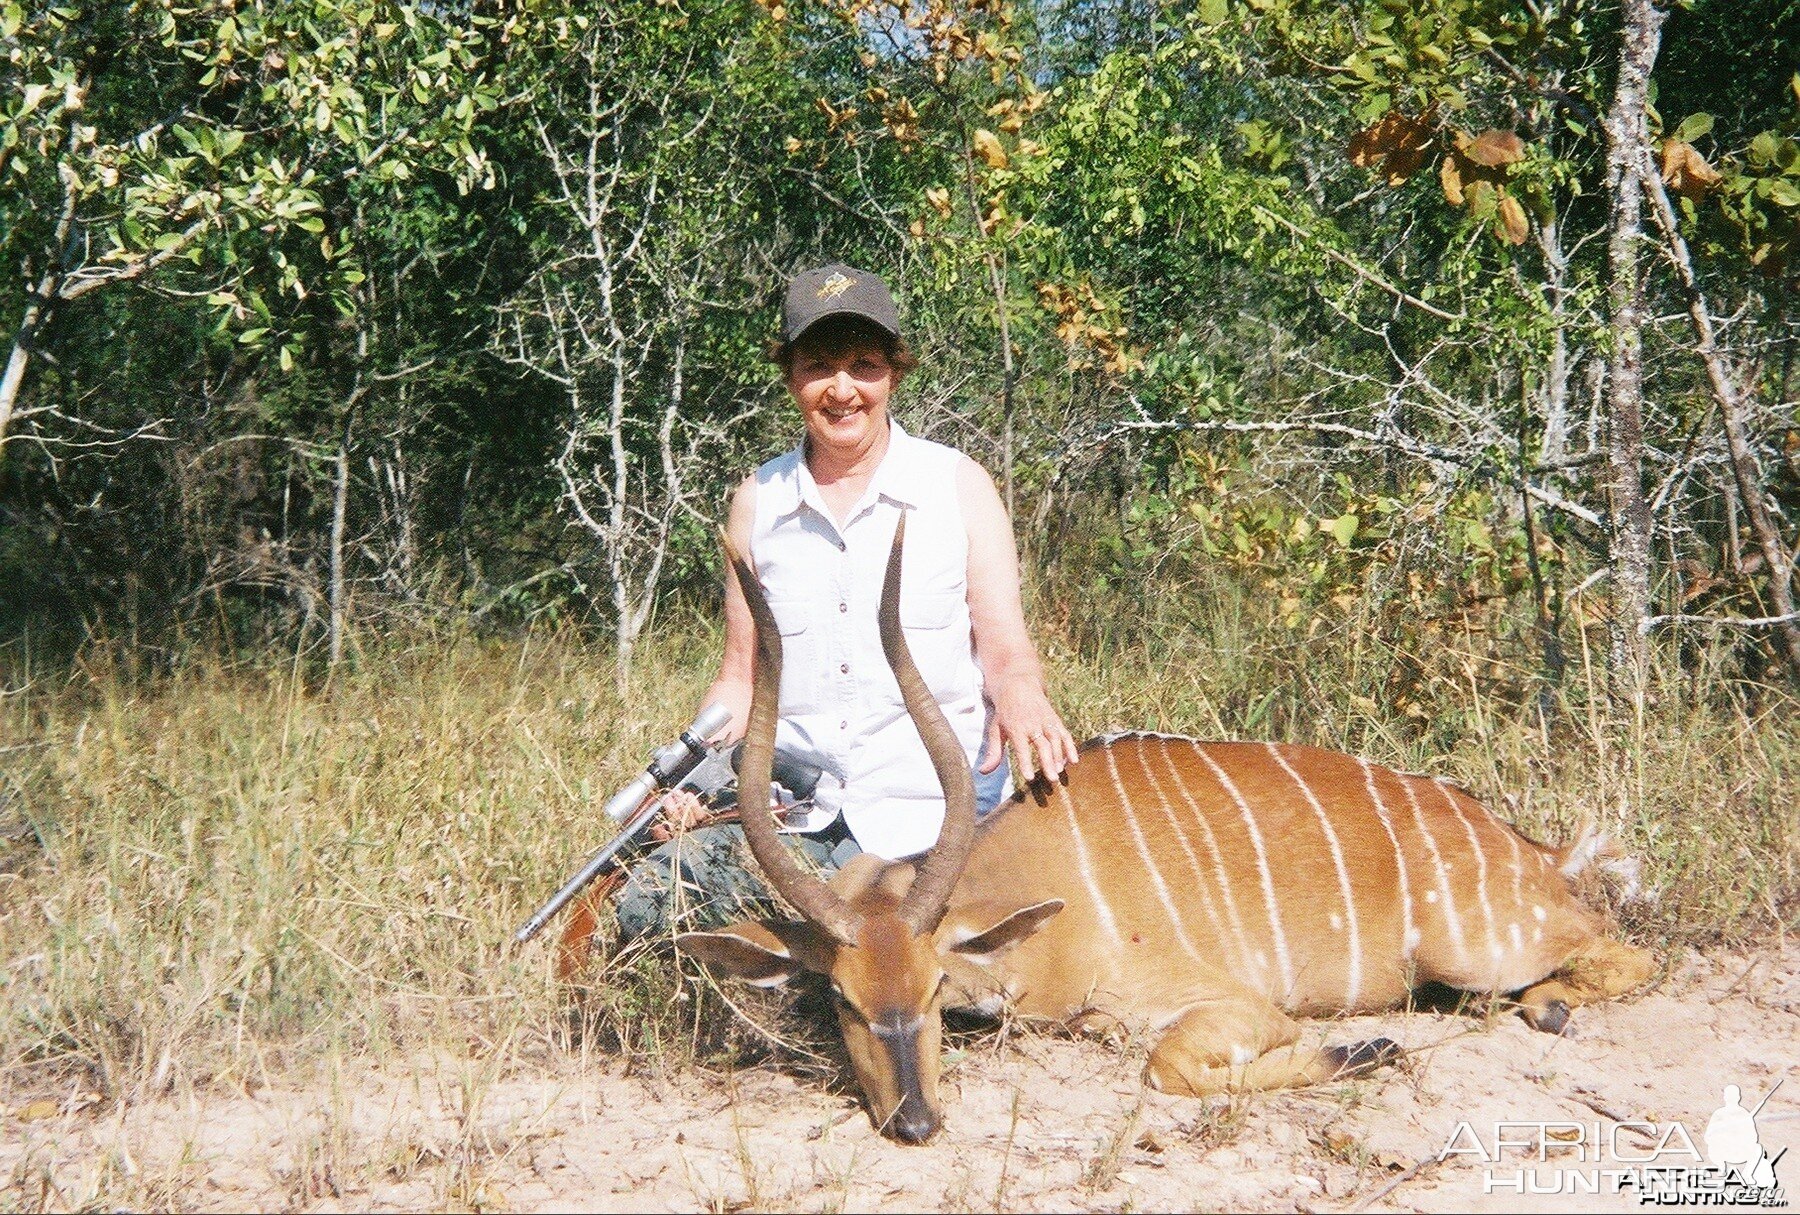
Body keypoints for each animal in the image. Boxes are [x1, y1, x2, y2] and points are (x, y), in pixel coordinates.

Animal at [676, 522, 1656, 1137]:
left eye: (932, 987)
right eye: (844, 998)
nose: (916, 1121)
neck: (1049, 896)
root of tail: (1532, 847)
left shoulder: (1232, 1004)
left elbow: (1168, 1064)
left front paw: (1363, 1047)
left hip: (1479, 945)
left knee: (1629, 953)